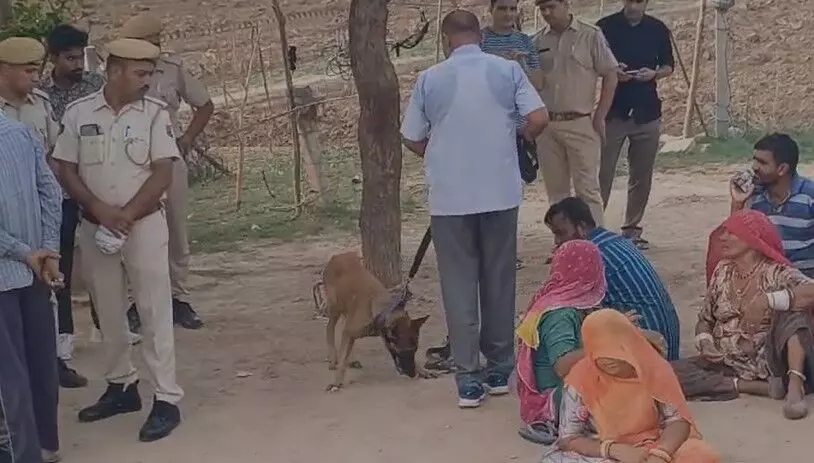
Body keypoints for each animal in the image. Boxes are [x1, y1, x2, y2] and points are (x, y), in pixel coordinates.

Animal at [322, 250, 436, 392]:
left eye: (415, 349)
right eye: (405, 350)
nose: (413, 373)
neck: (383, 310)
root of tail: (336, 257)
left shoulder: (382, 334)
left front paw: (423, 370)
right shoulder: (352, 330)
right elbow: (342, 359)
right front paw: (337, 382)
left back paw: (351, 359)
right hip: (335, 307)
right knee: (329, 328)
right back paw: (333, 359)